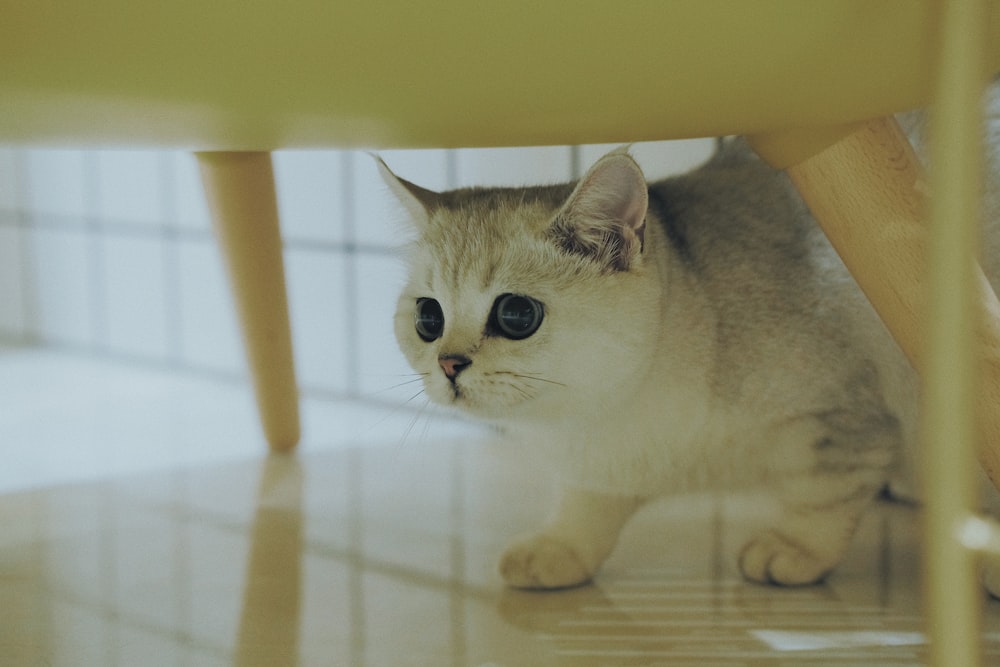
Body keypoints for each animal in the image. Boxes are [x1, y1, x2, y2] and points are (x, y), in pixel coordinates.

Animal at [378, 100, 996, 588]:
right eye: (428, 318)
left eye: (516, 314)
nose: (448, 364)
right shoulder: (604, 465)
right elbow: (587, 504)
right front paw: (561, 549)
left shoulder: (844, 420)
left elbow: (824, 495)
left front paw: (795, 549)